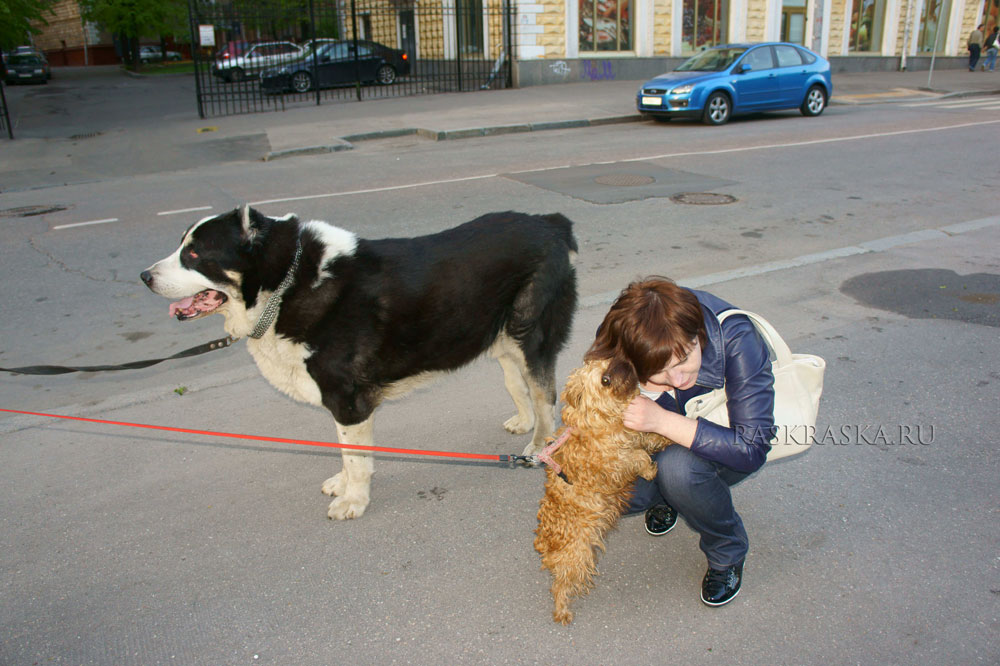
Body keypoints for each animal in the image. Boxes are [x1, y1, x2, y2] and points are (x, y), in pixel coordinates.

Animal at [141, 208, 580, 520]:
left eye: (194, 253)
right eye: (181, 246)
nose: (144, 276)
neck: (285, 282)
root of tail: (550, 223)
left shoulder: (348, 399)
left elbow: (355, 456)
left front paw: (353, 499)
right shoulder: (341, 402)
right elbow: (345, 451)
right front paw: (344, 484)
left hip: (529, 333)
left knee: (544, 395)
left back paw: (539, 445)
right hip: (501, 336)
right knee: (517, 383)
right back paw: (523, 422)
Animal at [536, 358, 668, 624]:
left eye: (609, 360)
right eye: (604, 380)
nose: (624, 362)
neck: (603, 419)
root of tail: (545, 544)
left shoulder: (635, 435)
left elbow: (649, 437)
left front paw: (667, 438)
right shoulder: (614, 464)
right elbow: (638, 456)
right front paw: (649, 470)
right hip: (578, 556)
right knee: (560, 585)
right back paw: (562, 610)